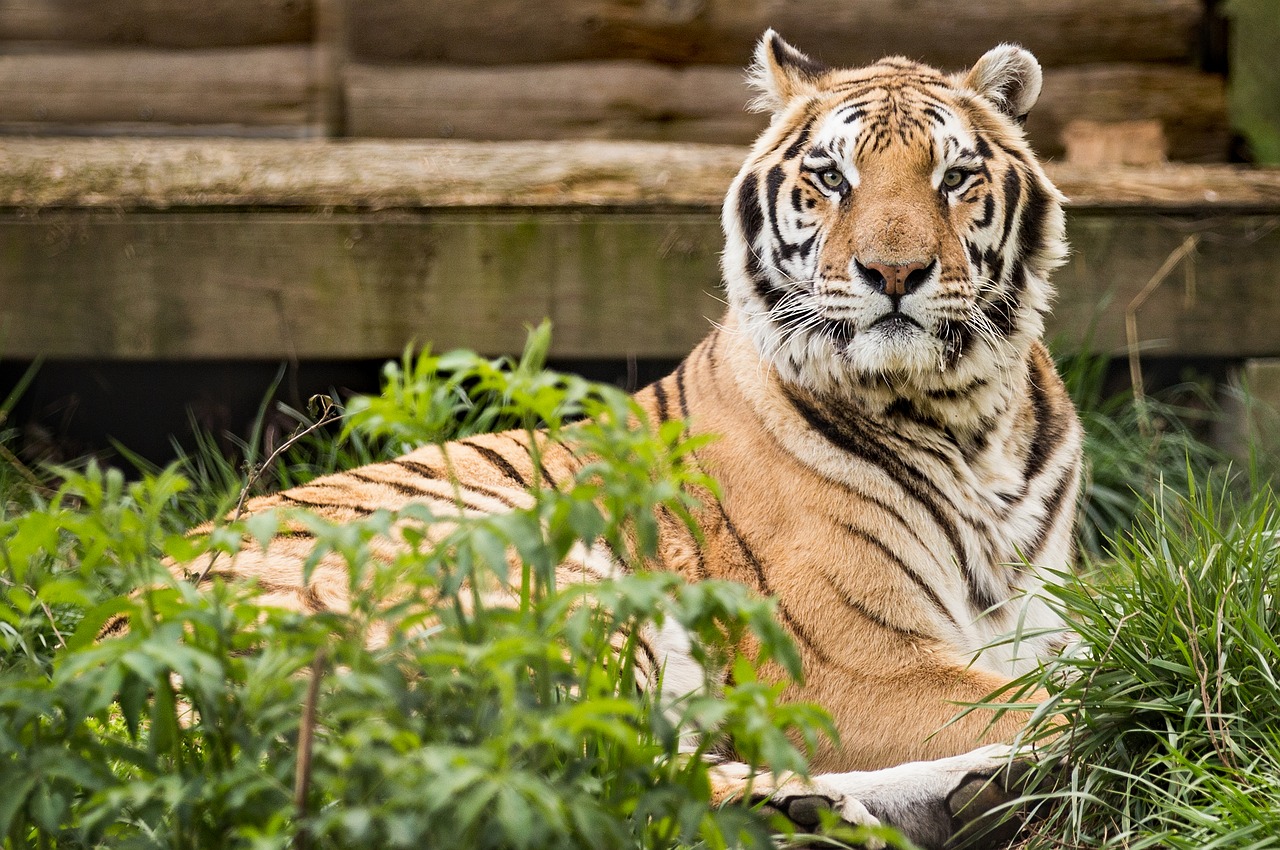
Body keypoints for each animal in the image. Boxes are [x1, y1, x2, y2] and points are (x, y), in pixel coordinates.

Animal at [154, 29, 1085, 844]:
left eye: (955, 176)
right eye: (831, 176)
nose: (894, 273)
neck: (967, 419)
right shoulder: (850, 662)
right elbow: (1050, 701)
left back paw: (946, 796)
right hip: (548, 585)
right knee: (584, 772)